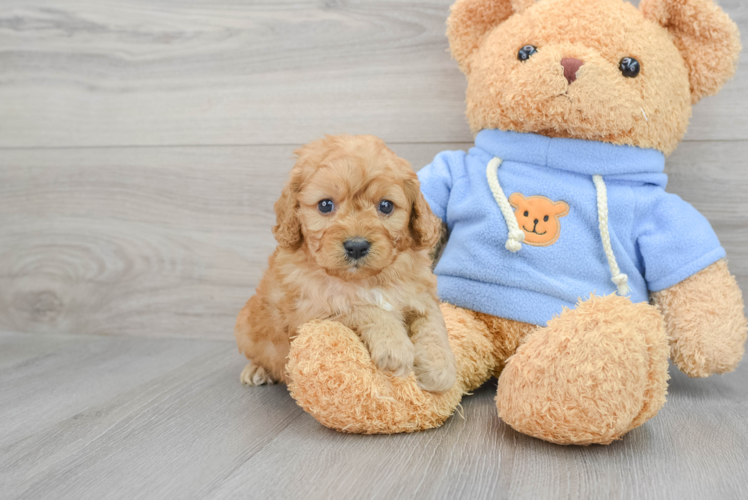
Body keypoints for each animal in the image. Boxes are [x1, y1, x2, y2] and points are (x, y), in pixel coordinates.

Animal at [234, 135, 456, 392]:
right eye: (325, 205)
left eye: (386, 206)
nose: (357, 246)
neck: (366, 280)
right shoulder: (312, 311)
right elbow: (363, 308)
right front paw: (395, 347)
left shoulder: (419, 294)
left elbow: (433, 322)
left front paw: (439, 368)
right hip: (247, 327)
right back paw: (256, 370)